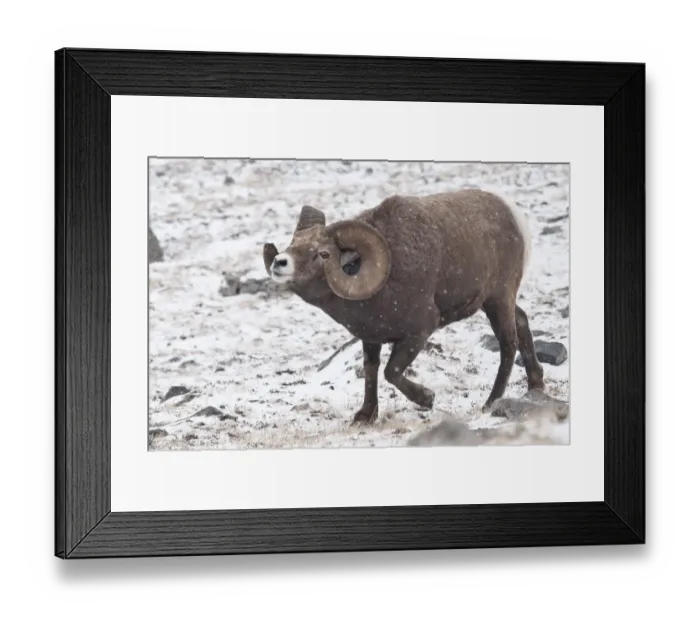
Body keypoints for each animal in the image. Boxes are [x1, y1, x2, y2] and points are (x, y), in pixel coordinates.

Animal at [263, 188, 545, 425]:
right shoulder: (371, 339)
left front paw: (427, 399)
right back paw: (536, 386)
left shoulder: (418, 333)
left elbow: (392, 372)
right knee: (522, 321)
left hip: (499, 300)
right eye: (293, 242)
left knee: (508, 344)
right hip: (495, 303)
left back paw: (490, 403)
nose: (279, 263)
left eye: (323, 254)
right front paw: (365, 416)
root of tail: (514, 215)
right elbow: (372, 371)